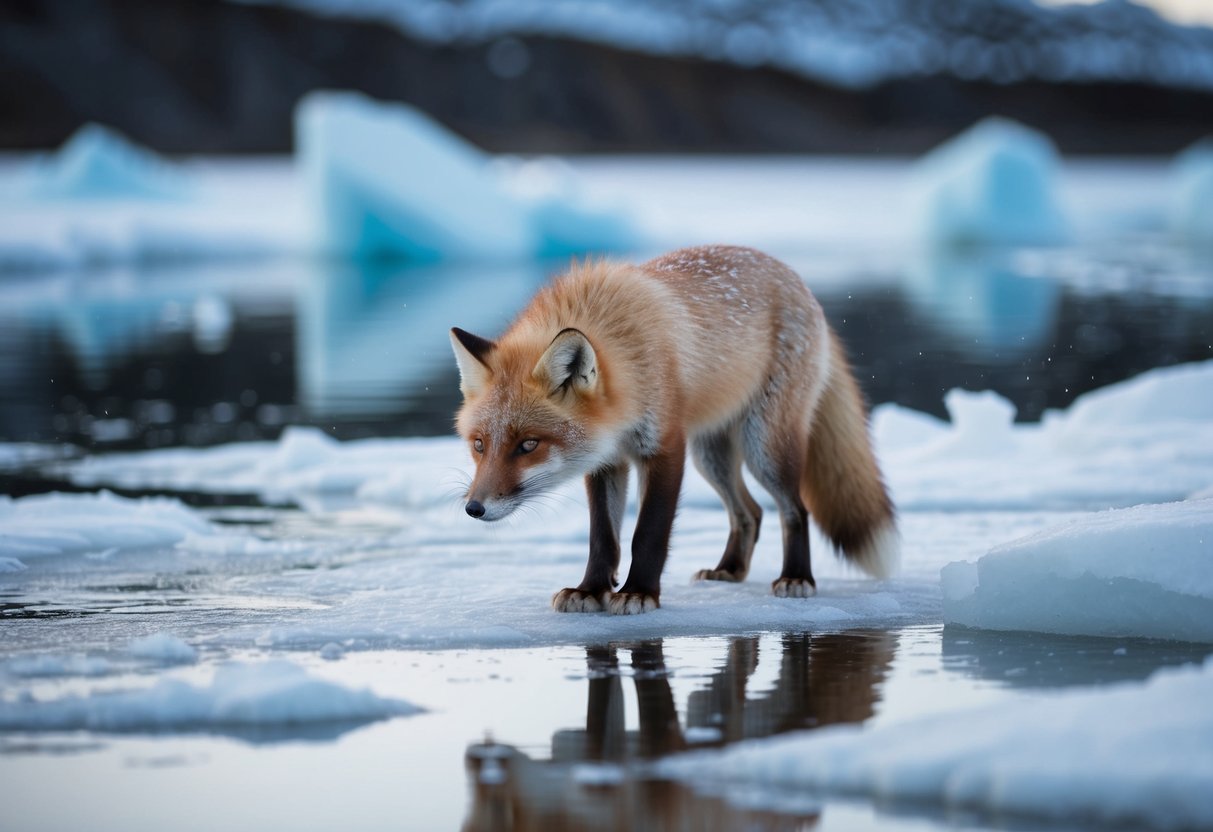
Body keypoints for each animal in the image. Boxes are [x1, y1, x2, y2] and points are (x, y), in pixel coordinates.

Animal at [450, 245, 898, 615]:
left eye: (528, 444)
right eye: (479, 445)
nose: (474, 508)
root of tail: (795, 279)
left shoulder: (664, 447)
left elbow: (647, 533)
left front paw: (638, 592)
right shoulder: (606, 460)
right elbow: (603, 537)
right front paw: (591, 590)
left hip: (763, 447)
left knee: (795, 509)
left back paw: (797, 577)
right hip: (711, 456)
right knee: (749, 513)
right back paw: (729, 570)